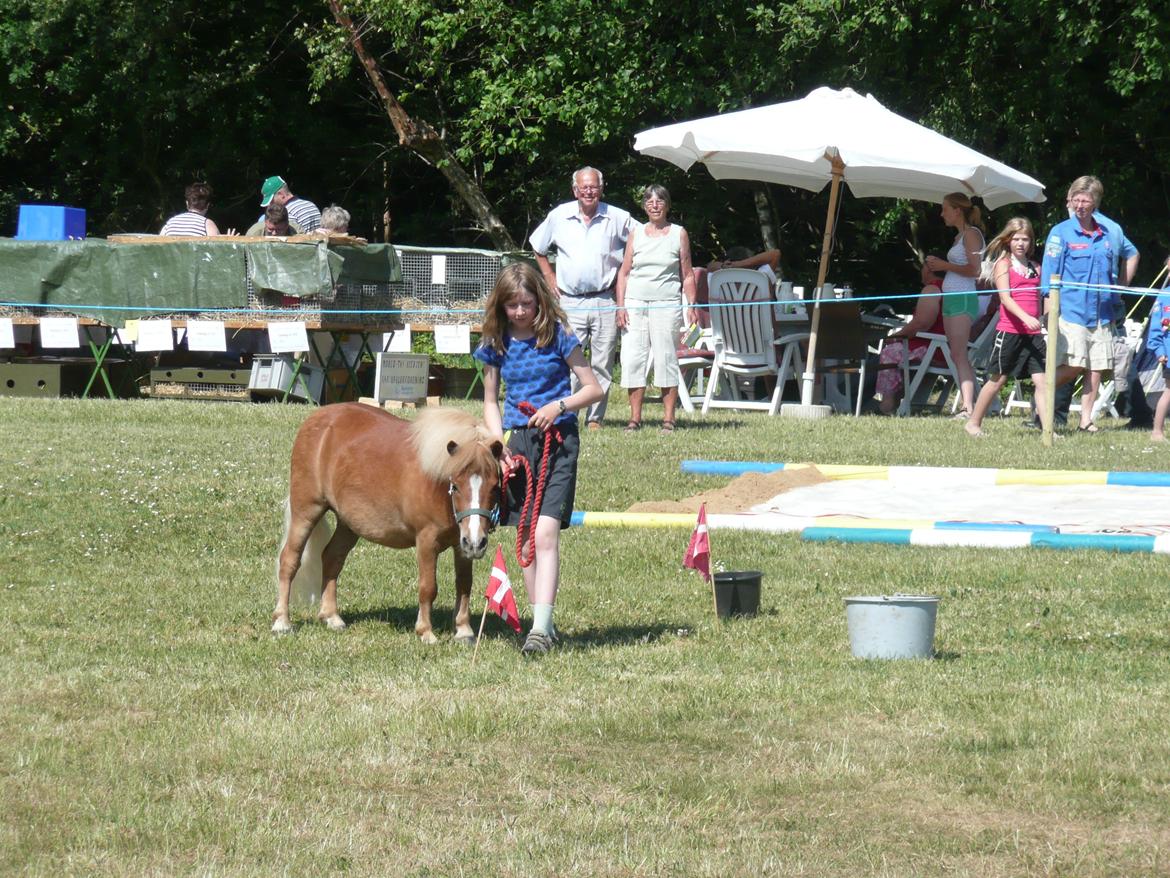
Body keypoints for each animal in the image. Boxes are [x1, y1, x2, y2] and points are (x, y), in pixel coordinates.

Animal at [272, 405, 503, 646]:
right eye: (455, 486)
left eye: (495, 487)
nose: (477, 543)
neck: (437, 483)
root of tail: (316, 419)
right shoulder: (427, 541)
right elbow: (428, 587)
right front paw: (425, 631)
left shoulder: (462, 544)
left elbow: (464, 584)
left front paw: (464, 630)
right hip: (306, 511)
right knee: (289, 560)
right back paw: (282, 621)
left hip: (348, 524)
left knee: (331, 558)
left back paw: (331, 616)